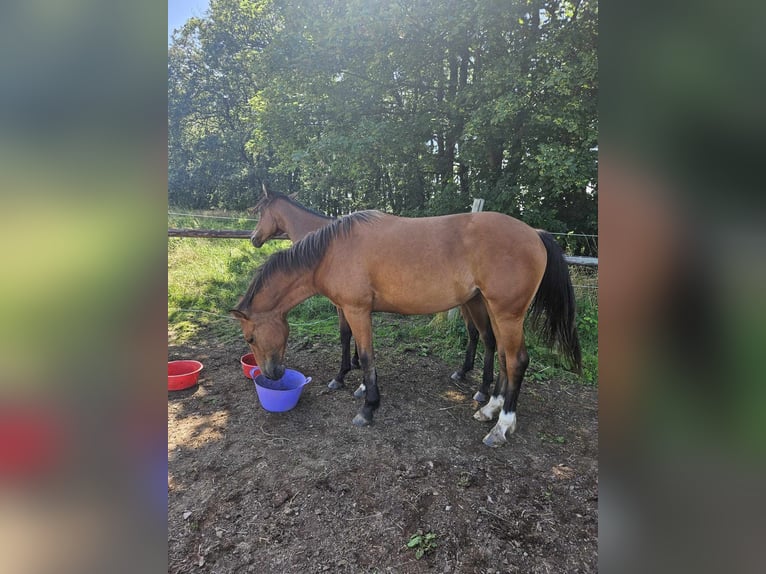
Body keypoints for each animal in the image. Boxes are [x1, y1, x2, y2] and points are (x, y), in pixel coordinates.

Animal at [232, 209, 584, 448]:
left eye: (250, 337)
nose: (272, 375)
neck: (330, 252)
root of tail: (534, 233)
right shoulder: (357, 311)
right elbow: (361, 351)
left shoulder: (356, 310)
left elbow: (366, 356)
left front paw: (368, 407)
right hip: (493, 310)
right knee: (501, 357)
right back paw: (490, 408)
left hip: (506, 313)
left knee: (516, 361)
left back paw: (501, 426)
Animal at [248, 187, 498, 402]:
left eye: (260, 211)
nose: (253, 238)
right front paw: (357, 369)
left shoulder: (345, 306)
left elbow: (345, 335)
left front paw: (347, 376)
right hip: (470, 301)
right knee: (475, 333)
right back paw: (463, 372)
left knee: (483, 336)